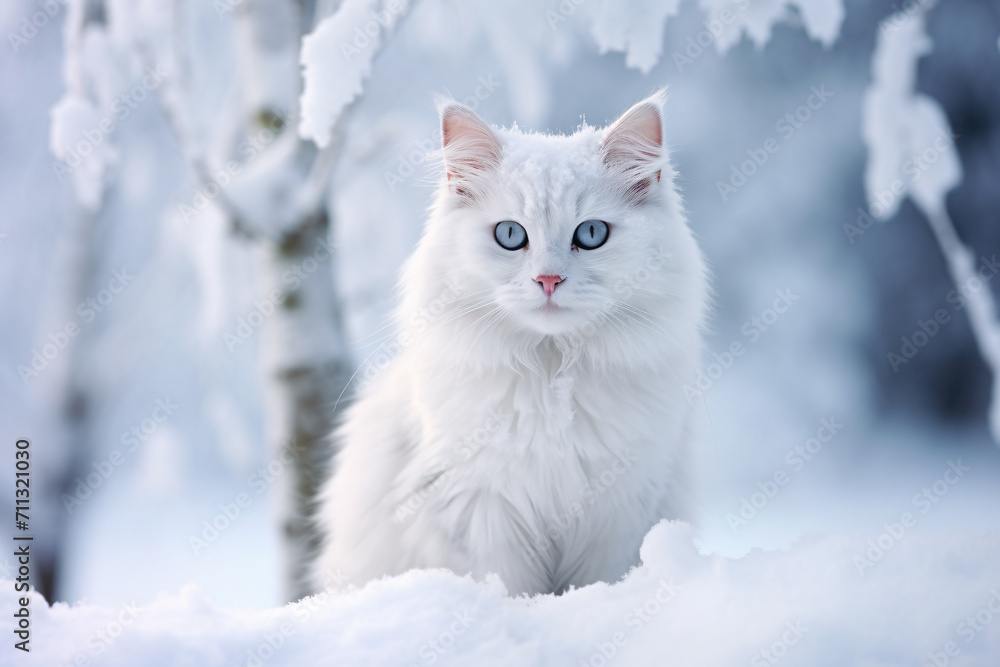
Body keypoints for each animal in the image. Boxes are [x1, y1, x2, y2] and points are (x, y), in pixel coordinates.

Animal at [312, 91, 712, 596]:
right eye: (510, 235)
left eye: (591, 234)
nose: (548, 280)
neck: (552, 377)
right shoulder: (478, 508)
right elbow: (506, 585)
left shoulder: (621, 508)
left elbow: (600, 582)